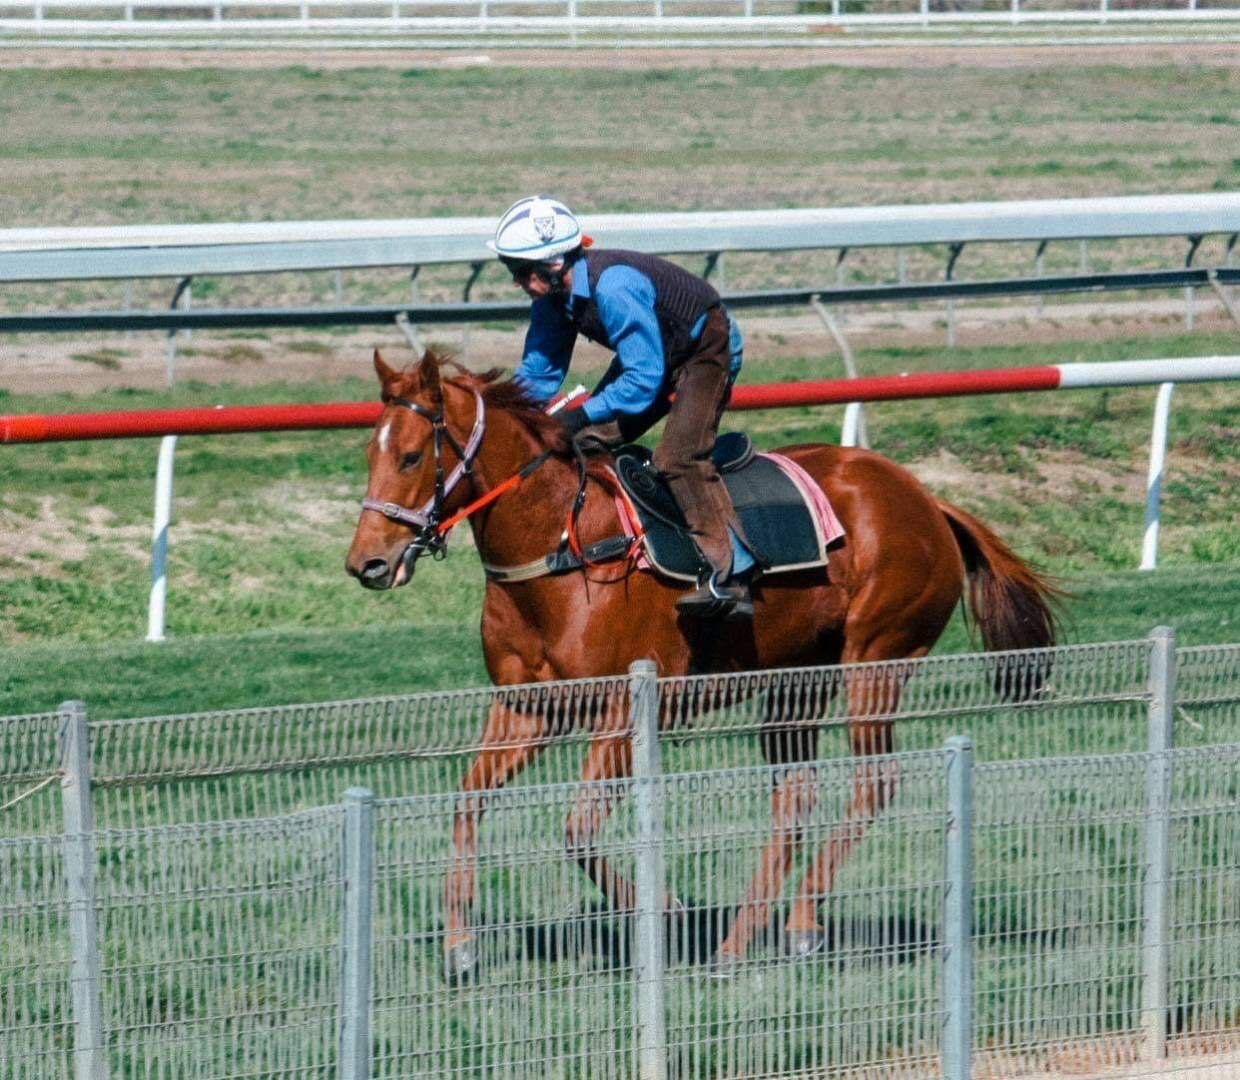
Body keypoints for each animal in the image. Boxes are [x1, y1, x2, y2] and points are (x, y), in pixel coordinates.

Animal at [347, 349, 1056, 982]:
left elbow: (576, 829)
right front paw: (459, 947)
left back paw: (799, 923)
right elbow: (466, 804)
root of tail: (928, 499)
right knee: (795, 797)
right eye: (369, 456)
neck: (561, 547)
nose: (367, 563)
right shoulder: (528, 708)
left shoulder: (623, 710)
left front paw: (665, 907)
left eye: (411, 456)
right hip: (796, 682)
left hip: (876, 659)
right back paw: (739, 943)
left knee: (873, 783)